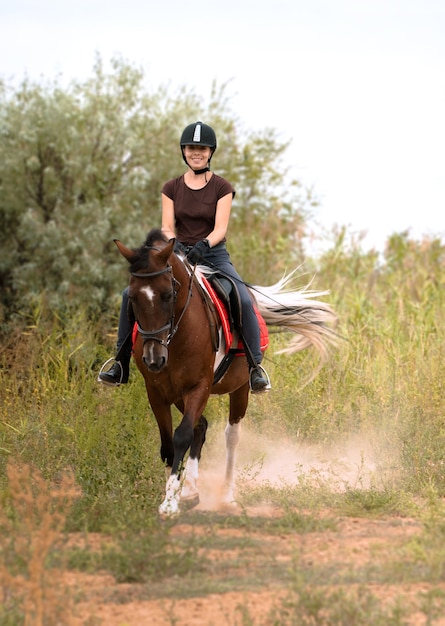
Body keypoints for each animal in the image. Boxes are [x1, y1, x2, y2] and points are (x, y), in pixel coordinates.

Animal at [113, 227, 336, 516]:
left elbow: (181, 436)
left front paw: (170, 503)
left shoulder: (200, 385)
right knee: (200, 427)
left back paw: (226, 496)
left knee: (231, 436)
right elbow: (168, 445)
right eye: (133, 297)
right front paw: (173, 494)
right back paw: (192, 490)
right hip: (179, 394)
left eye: (167, 295)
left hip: (238, 389)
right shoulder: (157, 391)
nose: (154, 358)